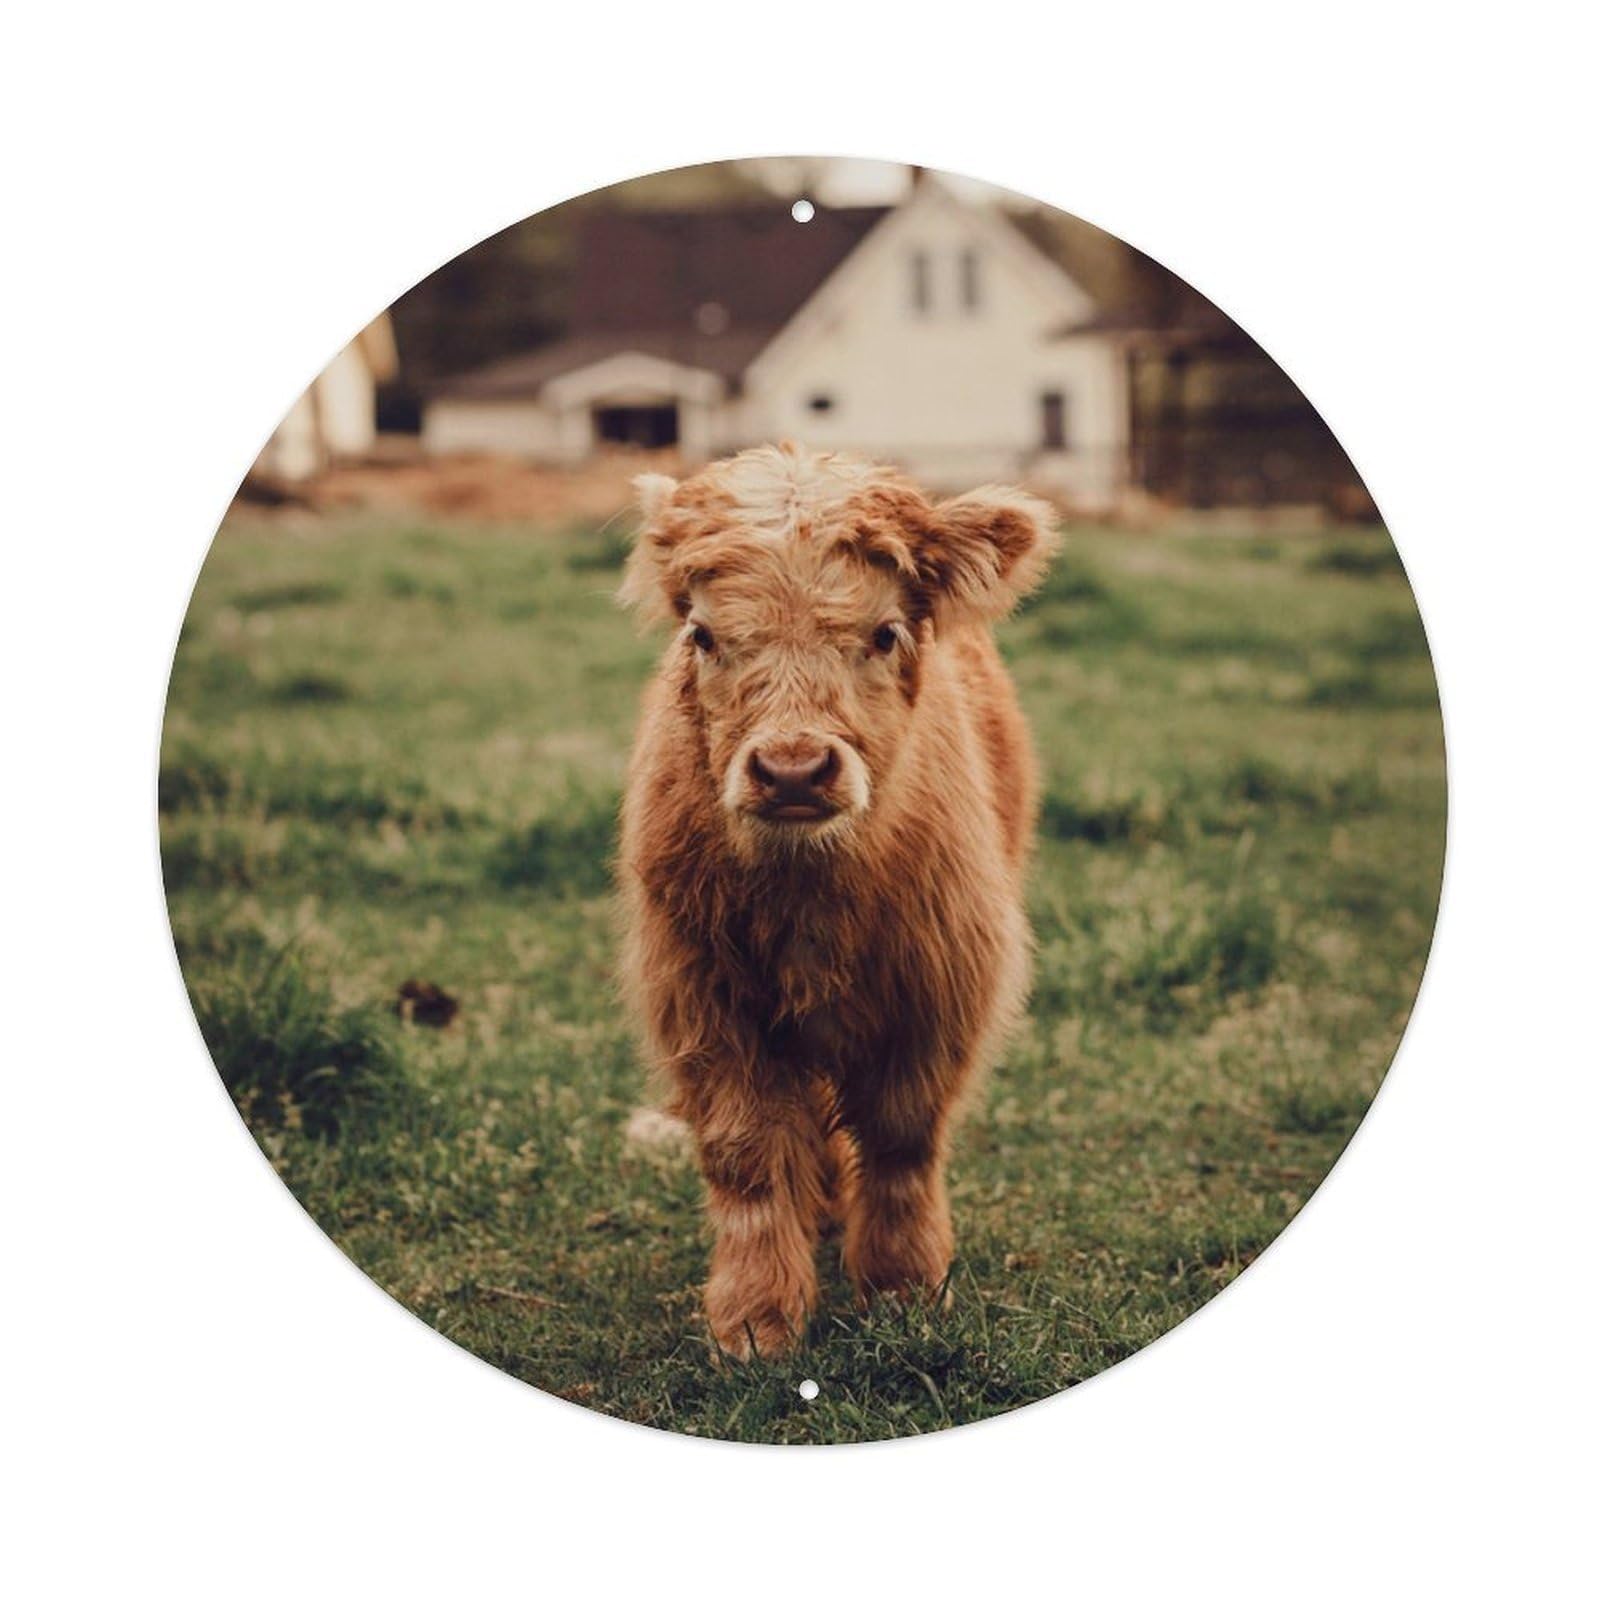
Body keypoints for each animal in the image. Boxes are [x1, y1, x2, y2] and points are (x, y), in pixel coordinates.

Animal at [617, 442, 1056, 1359]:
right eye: (703, 633)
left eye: (884, 632)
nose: (791, 771)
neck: (809, 899)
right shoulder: (702, 998)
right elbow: (747, 1156)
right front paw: (754, 1320)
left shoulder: (937, 992)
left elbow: (899, 1142)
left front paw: (903, 1288)